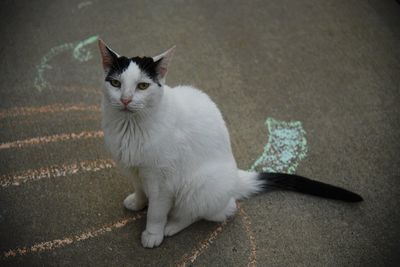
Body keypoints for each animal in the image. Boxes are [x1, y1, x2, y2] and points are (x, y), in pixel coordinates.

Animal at [97, 39, 362, 249]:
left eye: (142, 86)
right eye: (116, 84)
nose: (125, 99)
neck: (131, 128)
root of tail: (235, 176)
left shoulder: (162, 182)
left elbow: (155, 211)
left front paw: (153, 233)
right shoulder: (135, 170)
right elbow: (141, 191)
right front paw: (138, 202)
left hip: (197, 185)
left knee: (216, 210)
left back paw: (171, 226)